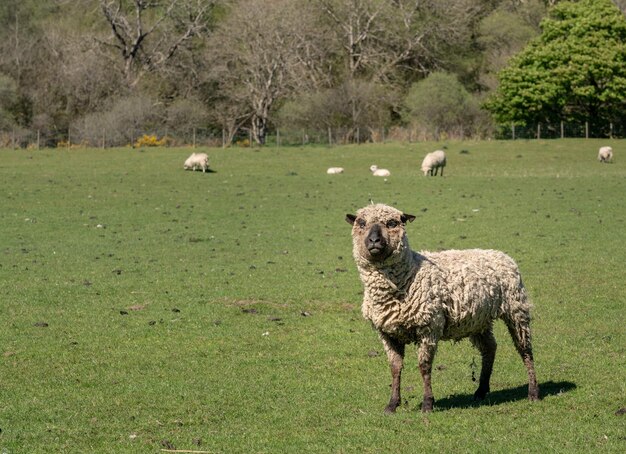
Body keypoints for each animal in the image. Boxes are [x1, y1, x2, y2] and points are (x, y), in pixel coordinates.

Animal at [344, 204, 540, 414]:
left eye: (392, 223)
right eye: (361, 223)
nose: (374, 240)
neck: (408, 274)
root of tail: (500, 254)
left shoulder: (429, 327)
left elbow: (424, 366)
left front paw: (427, 403)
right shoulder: (387, 333)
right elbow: (395, 368)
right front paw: (392, 404)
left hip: (516, 309)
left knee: (525, 350)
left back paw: (533, 392)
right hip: (478, 320)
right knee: (489, 348)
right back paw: (481, 390)